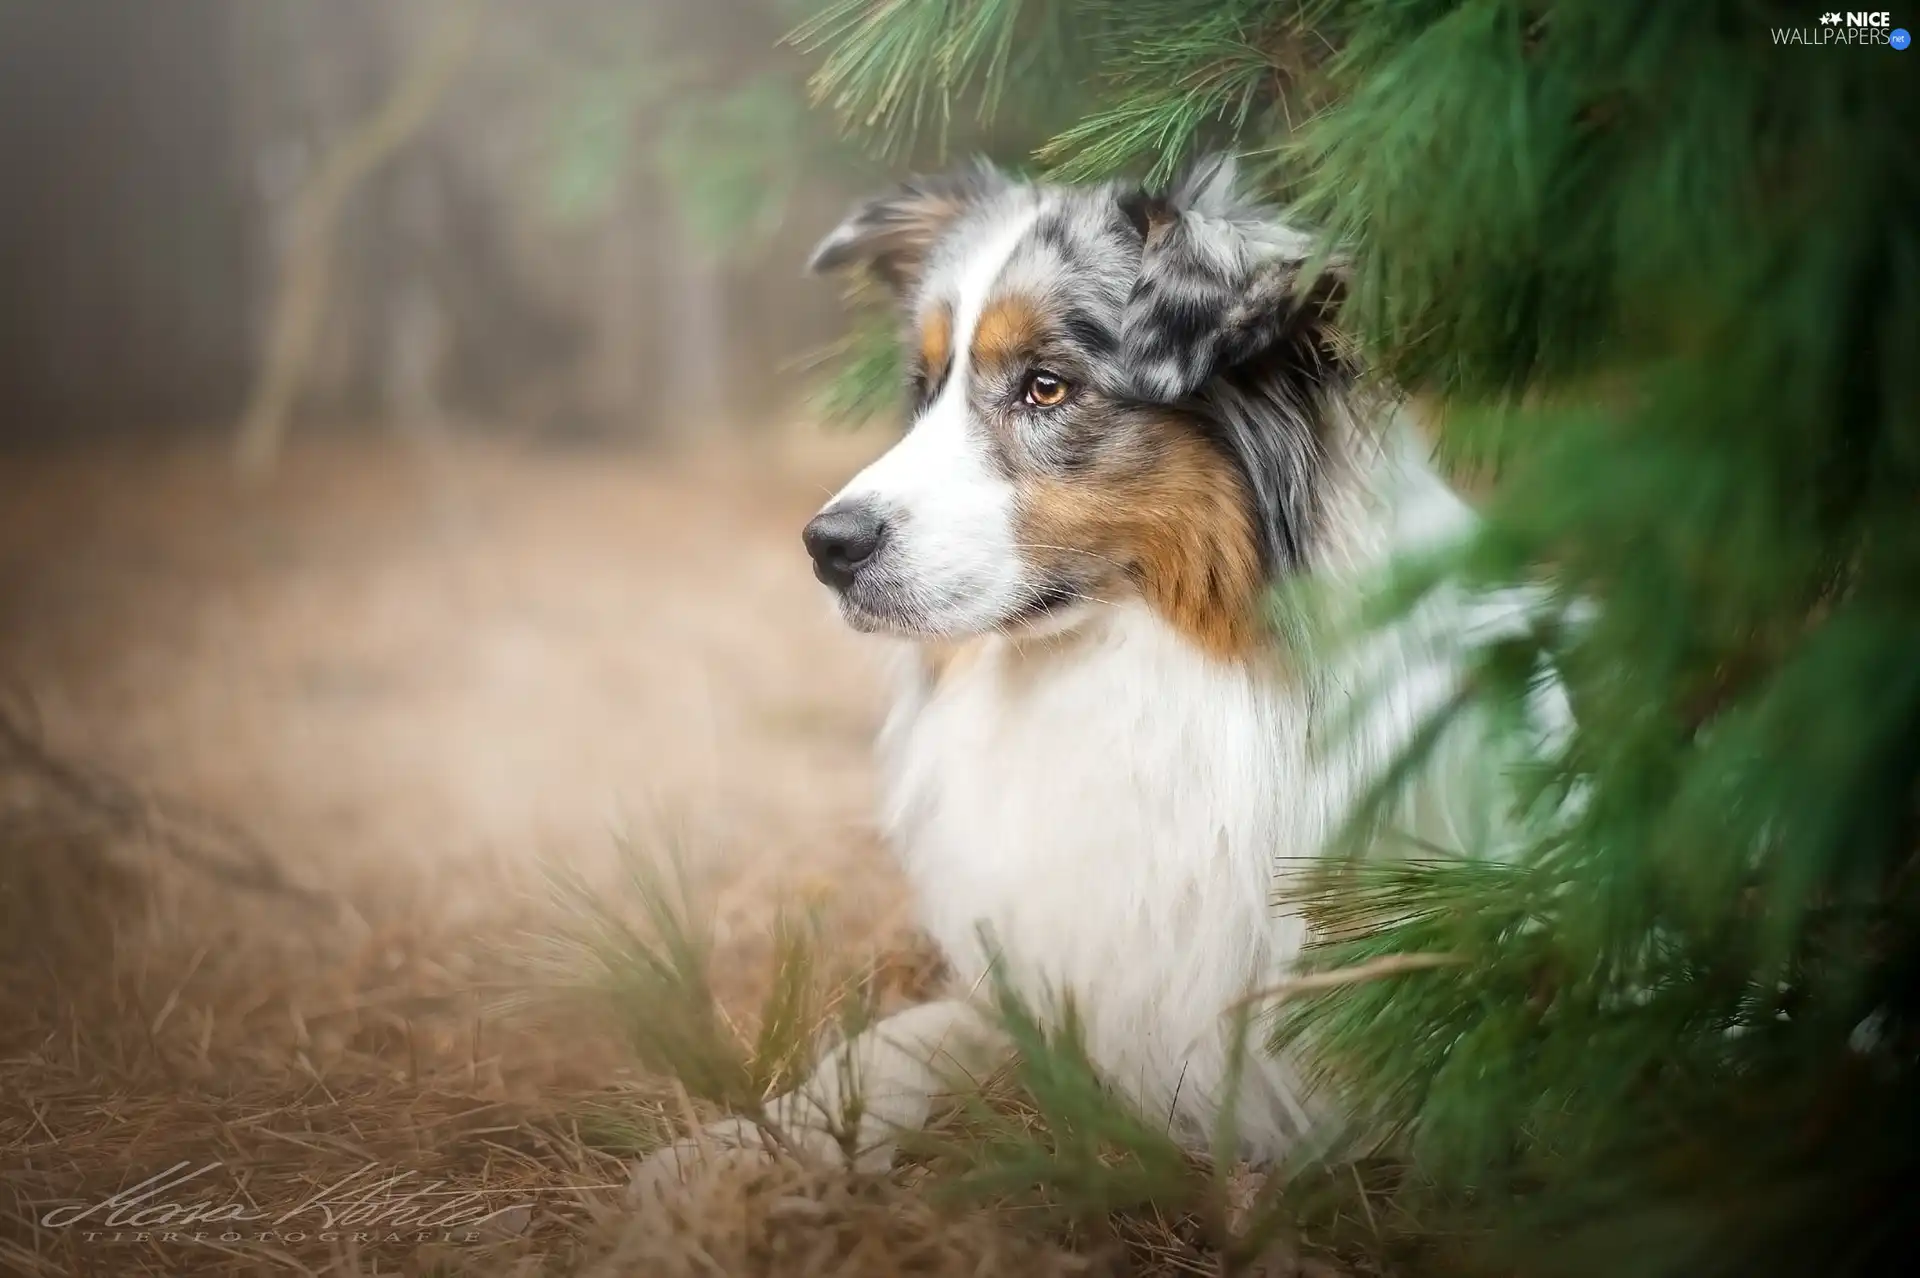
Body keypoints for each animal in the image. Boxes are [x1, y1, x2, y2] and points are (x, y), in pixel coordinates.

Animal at [637, 156, 1551, 1182]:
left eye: (1046, 387)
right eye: (924, 387)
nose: (826, 547)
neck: (1133, 672)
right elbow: (904, 1038)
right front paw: (737, 1150)